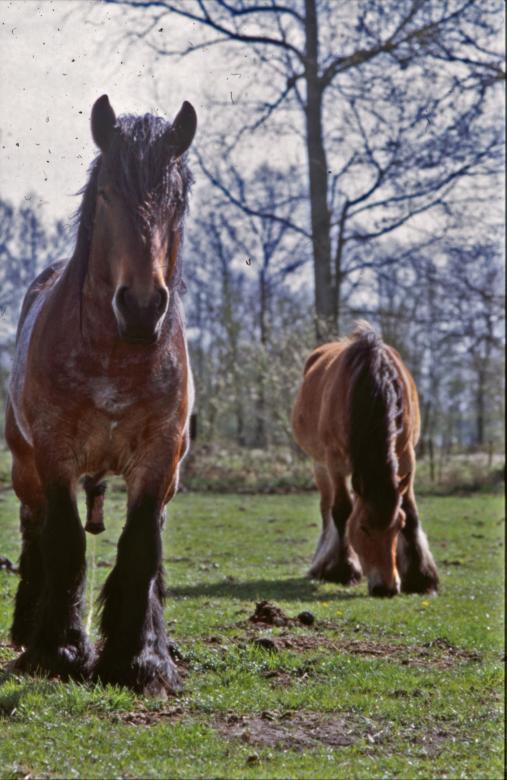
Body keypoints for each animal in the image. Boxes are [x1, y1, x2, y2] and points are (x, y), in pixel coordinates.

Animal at [5, 94, 197, 696]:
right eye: (109, 192)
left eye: (176, 199)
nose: (141, 307)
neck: (116, 353)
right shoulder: (53, 453)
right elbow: (65, 542)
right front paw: (60, 650)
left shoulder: (160, 459)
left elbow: (141, 547)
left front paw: (140, 660)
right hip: (24, 464)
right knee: (34, 531)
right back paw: (27, 626)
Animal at [292, 322, 439, 597]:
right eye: (362, 527)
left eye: (398, 525)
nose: (387, 587)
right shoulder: (334, 460)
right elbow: (341, 510)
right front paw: (344, 569)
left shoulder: (406, 455)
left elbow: (411, 510)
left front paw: (420, 577)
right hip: (320, 465)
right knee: (326, 508)